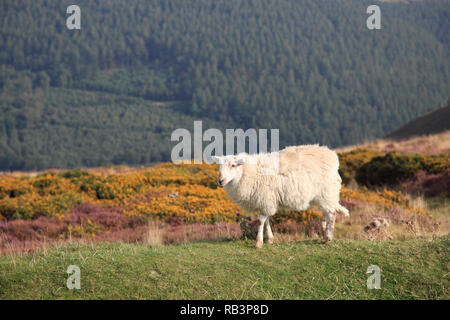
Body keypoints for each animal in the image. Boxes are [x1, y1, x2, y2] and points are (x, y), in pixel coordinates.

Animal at [213, 145, 350, 248]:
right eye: (219, 166)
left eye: (233, 165)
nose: (220, 180)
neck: (250, 172)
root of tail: (332, 156)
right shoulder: (266, 201)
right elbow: (266, 220)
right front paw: (269, 239)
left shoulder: (266, 198)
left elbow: (260, 221)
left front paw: (258, 243)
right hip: (323, 197)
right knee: (327, 213)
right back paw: (325, 234)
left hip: (327, 192)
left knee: (332, 213)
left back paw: (327, 237)